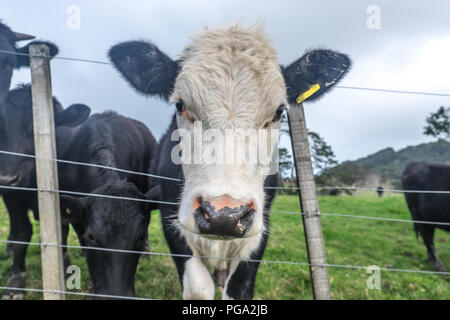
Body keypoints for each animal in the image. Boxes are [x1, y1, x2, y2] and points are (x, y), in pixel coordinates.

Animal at [0, 20, 91, 300]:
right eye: (3, 127)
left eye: (34, 128)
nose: (8, 177)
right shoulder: (11, 195)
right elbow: (21, 233)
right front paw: (16, 282)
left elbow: (61, 230)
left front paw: (64, 267)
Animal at [109, 25, 352, 300]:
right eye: (180, 105)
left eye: (279, 112)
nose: (223, 214)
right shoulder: (172, 221)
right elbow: (198, 287)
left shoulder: (259, 231)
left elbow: (238, 288)